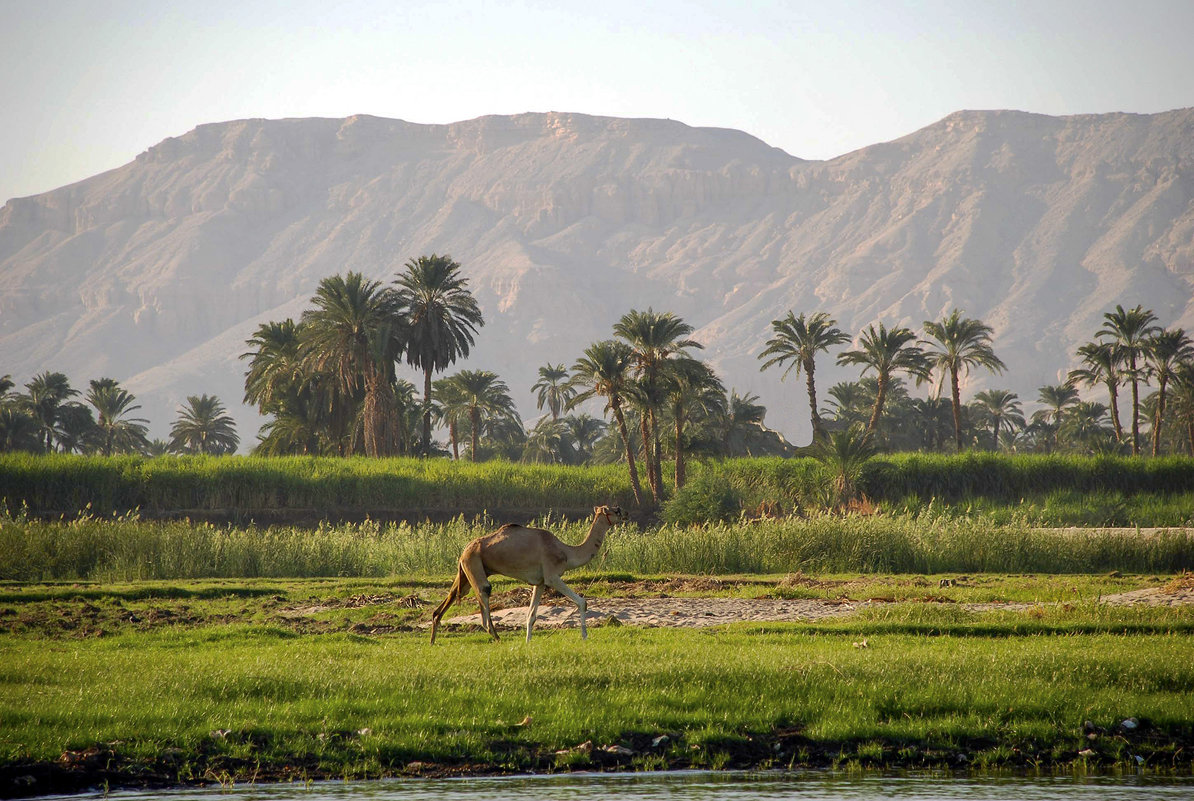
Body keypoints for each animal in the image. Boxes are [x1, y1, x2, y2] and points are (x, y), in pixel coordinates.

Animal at [432, 508, 635, 644]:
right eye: (615, 510)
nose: (626, 513)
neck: (567, 552)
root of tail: (464, 550)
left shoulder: (540, 583)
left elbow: (531, 615)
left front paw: (528, 642)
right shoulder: (552, 576)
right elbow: (582, 602)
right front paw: (584, 636)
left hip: (466, 572)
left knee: (448, 600)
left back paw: (433, 640)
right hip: (474, 565)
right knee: (484, 596)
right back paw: (498, 638)